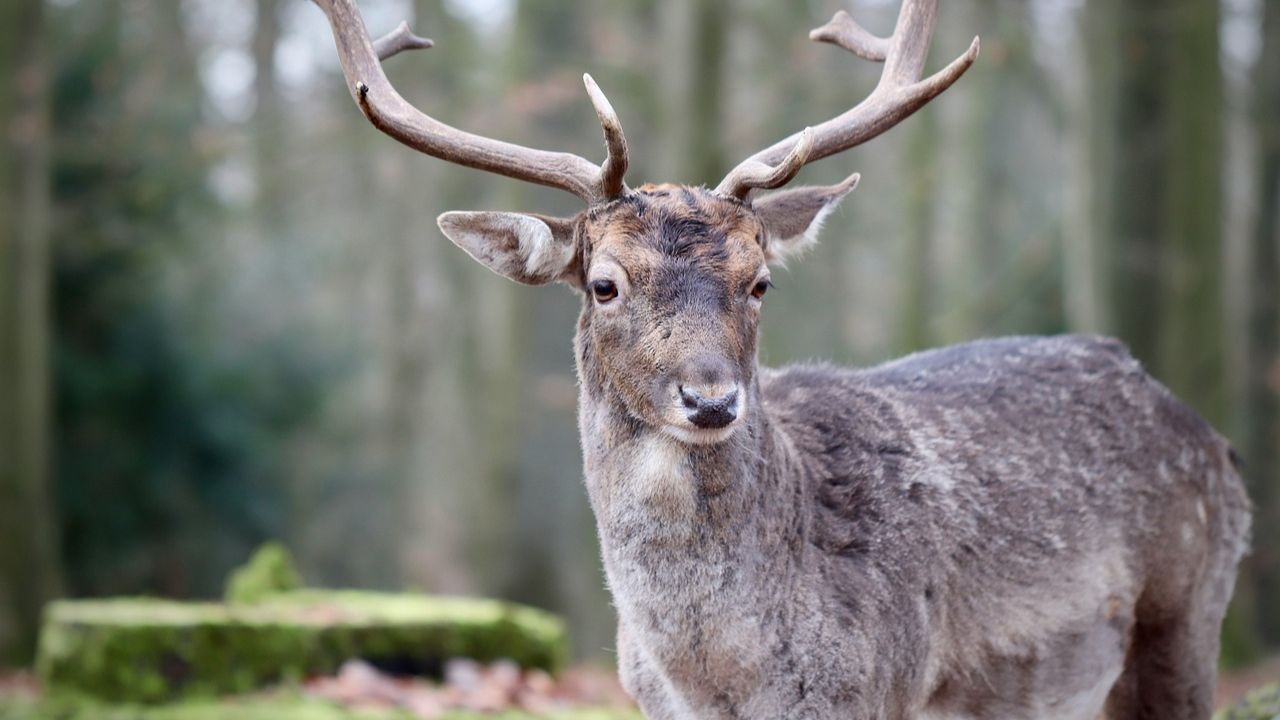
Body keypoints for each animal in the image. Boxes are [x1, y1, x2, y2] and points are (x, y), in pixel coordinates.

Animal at [312, 1, 1252, 718]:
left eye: (759, 280)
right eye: (605, 284)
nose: (711, 401)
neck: (720, 676)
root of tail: (1213, 439)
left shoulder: (877, 688)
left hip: (1186, 615)